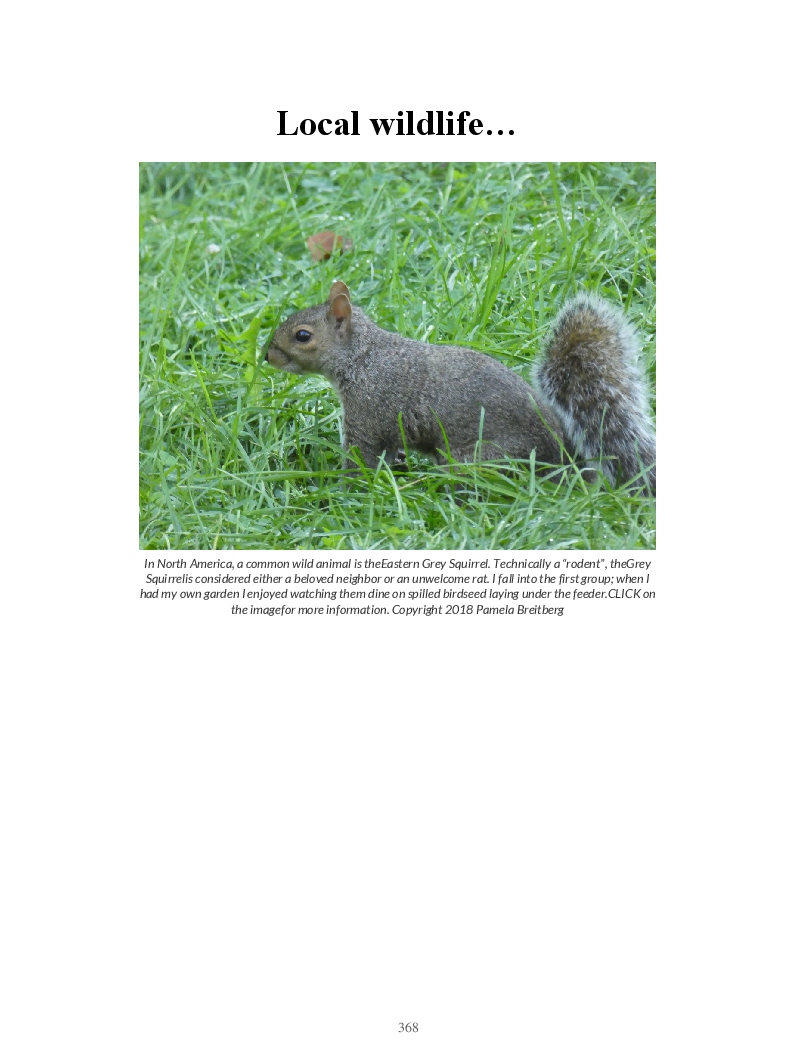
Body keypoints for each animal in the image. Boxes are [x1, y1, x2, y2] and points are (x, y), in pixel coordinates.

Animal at [266, 281, 656, 493]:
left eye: (303, 336)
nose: (267, 356)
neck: (363, 358)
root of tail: (566, 463)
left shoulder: (369, 415)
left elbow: (361, 459)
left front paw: (342, 489)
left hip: (482, 460)